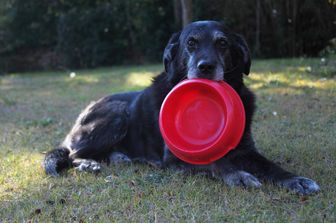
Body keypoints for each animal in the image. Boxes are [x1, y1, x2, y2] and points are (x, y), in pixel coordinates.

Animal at [44, 20, 320, 195]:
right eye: (191, 43)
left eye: (222, 43)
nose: (206, 67)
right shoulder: (176, 159)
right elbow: (215, 163)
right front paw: (238, 175)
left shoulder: (247, 150)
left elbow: (270, 166)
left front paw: (295, 180)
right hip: (118, 114)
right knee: (71, 154)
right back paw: (89, 164)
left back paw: (118, 157)